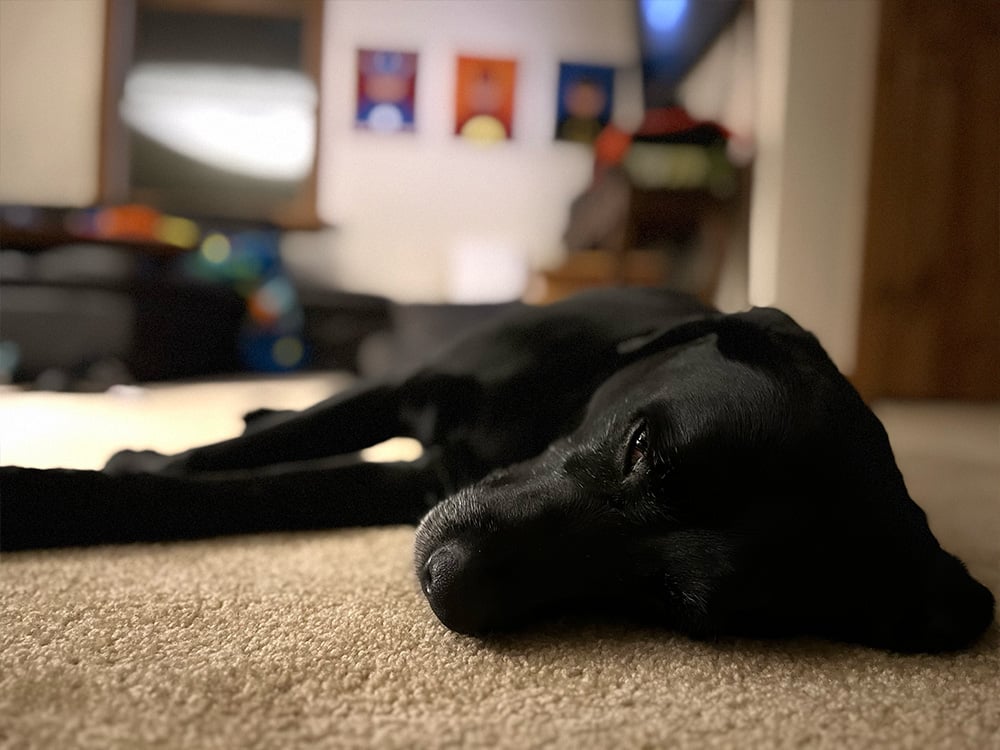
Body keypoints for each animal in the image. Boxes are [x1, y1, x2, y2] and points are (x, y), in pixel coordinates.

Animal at [3, 288, 996, 652]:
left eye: (675, 603)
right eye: (643, 446)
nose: (448, 587)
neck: (547, 419)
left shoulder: (418, 484)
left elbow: (257, 490)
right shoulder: (403, 391)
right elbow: (233, 459)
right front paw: (138, 457)